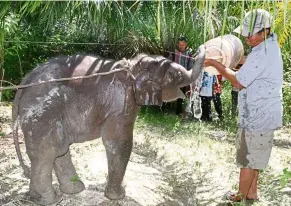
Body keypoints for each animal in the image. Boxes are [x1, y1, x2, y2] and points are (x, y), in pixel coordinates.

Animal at [13, 45, 205, 205]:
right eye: (174, 76)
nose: (201, 46)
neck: (132, 66)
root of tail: (23, 84)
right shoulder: (121, 103)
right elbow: (119, 142)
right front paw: (118, 196)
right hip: (43, 113)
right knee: (49, 151)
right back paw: (50, 200)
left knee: (58, 149)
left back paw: (69, 191)